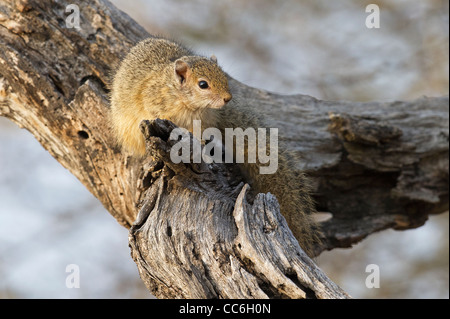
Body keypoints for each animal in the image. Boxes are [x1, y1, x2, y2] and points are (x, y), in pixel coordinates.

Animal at [110, 37, 322, 258]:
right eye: (202, 84)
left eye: (224, 76)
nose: (227, 98)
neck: (188, 105)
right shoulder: (152, 101)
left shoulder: (204, 122)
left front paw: (201, 145)